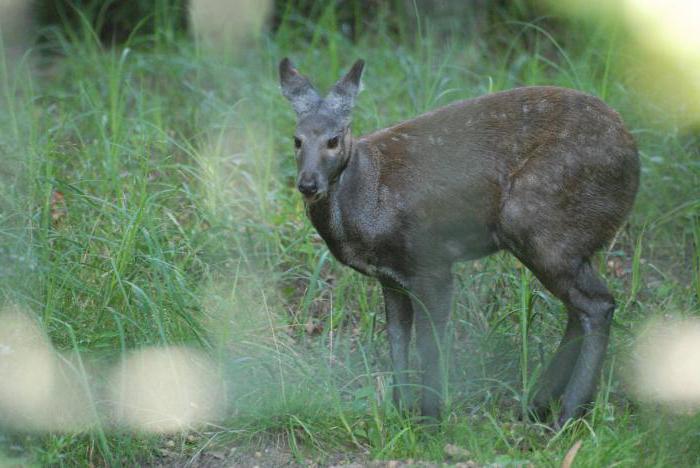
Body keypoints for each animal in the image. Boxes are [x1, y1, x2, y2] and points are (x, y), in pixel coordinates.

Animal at [278, 56, 640, 426]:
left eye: (333, 140)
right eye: (297, 140)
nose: (308, 184)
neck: (369, 198)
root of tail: (633, 157)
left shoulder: (431, 261)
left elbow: (430, 341)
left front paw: (431, 418)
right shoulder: (389, 277)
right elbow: (396, 336)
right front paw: (400, 409)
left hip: (539, 223)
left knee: (597, 304)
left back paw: (567, 415)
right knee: (578, 308)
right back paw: (537, 404)